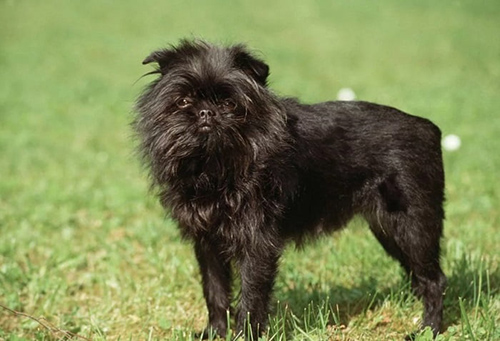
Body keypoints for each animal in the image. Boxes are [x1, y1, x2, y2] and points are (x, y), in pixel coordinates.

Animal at [133, 39, 446, 338]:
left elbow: (251, 296)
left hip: (412, 226)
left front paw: (245, 335)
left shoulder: (257, 244)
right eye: (183, 101)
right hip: (388, 230)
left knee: (434, 279)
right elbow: (215, 291)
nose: (206, 112)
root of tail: (429, 128)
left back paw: (429, 329)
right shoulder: (207, 242)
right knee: (419, 275)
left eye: (230, 104)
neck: (216, 167)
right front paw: (215, 332)